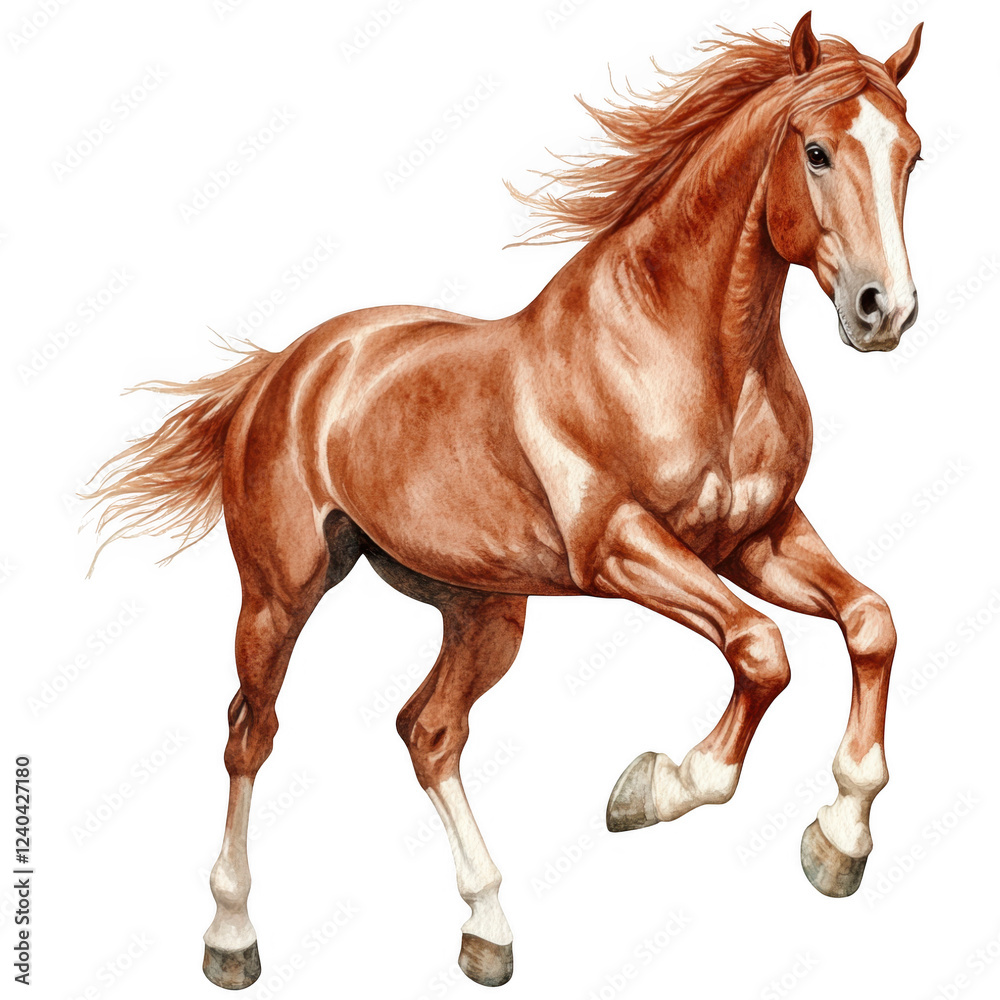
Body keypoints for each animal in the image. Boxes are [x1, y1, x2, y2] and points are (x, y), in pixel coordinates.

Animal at [86, 12, 925, 989]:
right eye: (818, 150)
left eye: (911, 155)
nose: (884, 311)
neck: (691, 353)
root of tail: (283, 370)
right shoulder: (621, 547)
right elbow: (761, 651)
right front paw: (655, 788)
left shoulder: (757, 541)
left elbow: (869, 623)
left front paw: (840, 838)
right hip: (280, 596)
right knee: (249, 733)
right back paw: (231, 939)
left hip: (483, 609)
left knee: (429, 731)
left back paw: (487, 930)